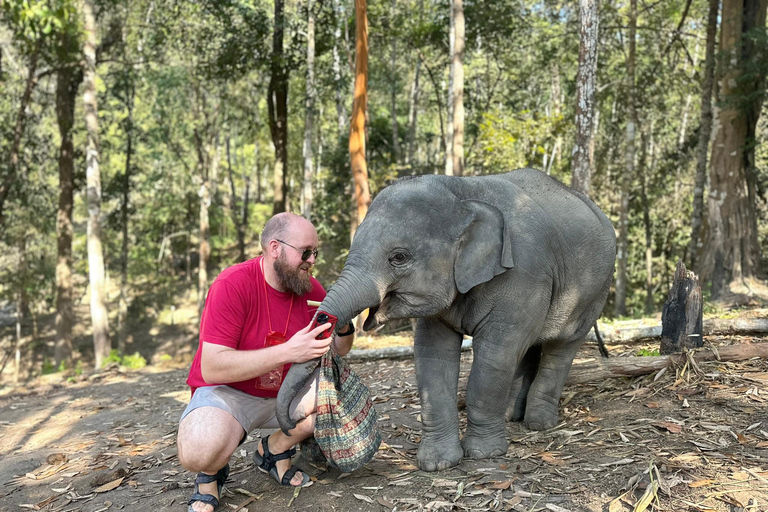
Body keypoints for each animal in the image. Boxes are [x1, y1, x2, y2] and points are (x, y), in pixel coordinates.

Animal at [277, 168, 616, 472]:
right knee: (529, 347)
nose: (292, 424)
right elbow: (433, 355)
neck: (463, 191)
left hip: (594, 291)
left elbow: (495, 354)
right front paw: (438, 463)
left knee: (560, 348)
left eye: (399, 257)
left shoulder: (524, 273)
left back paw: (539, 423)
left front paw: (484, 454)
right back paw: (511, 417)